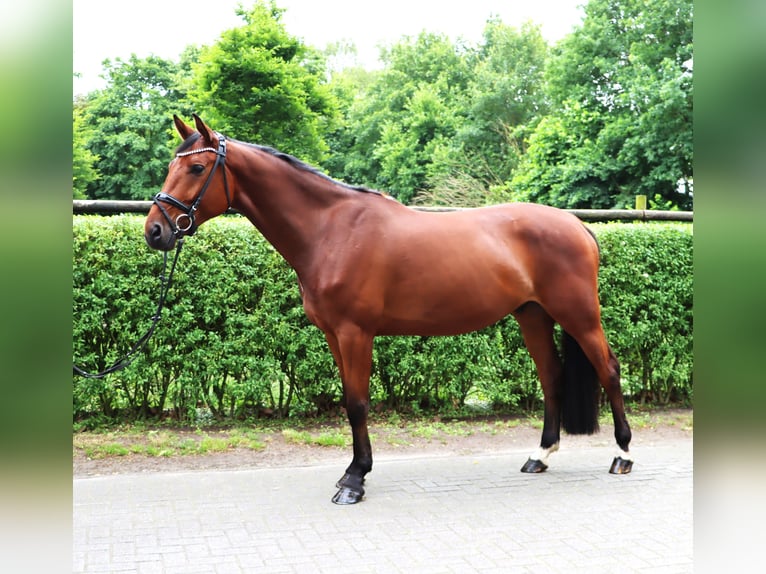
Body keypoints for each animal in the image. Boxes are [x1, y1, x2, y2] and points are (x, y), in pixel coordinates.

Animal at [146, 115, 636, 506]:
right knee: (551, 375)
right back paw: (540, 456)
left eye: (196, 167)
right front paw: (352, 471)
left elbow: (358, 403)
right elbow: (349, 400)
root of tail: (577, 226)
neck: (332, 230)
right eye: (171, 165)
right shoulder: (333, 335)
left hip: (579, 315)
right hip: (532, 314)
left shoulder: (355, 332)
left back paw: (622, 456)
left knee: (609, 369)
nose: (155, 230)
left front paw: (354, 481)